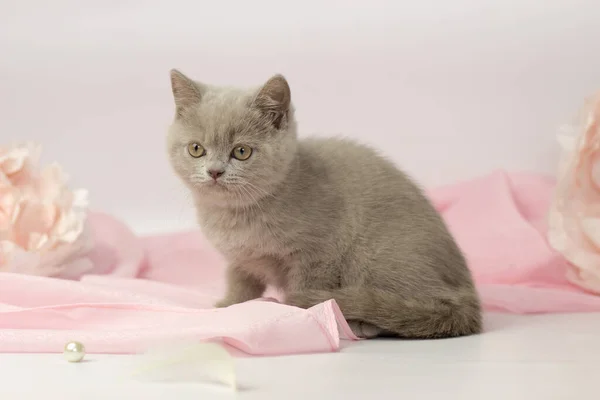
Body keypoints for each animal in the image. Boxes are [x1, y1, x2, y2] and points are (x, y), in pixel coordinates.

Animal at [168, 69, 482, 338]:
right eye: (196, 149)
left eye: (242, 151)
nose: (215, 171)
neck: (238, 215)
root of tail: (469, 295)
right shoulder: (240, 259)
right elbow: (240, 282)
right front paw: (228, 306)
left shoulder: (319, 254)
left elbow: (306, 287)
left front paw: (302, 313)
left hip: (375, 256)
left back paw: (362, 323)